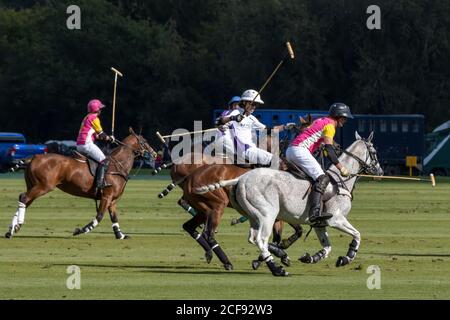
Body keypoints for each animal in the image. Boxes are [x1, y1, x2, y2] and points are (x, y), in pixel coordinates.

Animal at [4, 127, 156, 240]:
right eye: (145, 141)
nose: (154, 154)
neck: (119, 165)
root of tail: (34, 157)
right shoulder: (106, 196)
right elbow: (99, 216)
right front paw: (81, 230)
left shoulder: (112, 199)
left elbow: (114, 217)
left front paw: (120, 235)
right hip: (43, 186)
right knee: (24, 197)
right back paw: (16, 227)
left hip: (33, 185)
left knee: (24, 199)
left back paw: (12, 229)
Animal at [197, 131, 384, 276]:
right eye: (374, 152)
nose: (380, 172)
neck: (340, 181)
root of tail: (241, 178)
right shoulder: (336, 219)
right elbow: (357, 235)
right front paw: (347, 257)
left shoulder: (319, 224)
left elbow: (327, 247)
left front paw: (310, 257)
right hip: (268, 214)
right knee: (260, 239)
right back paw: (277, 269)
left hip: (253, 216)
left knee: (253, 238)